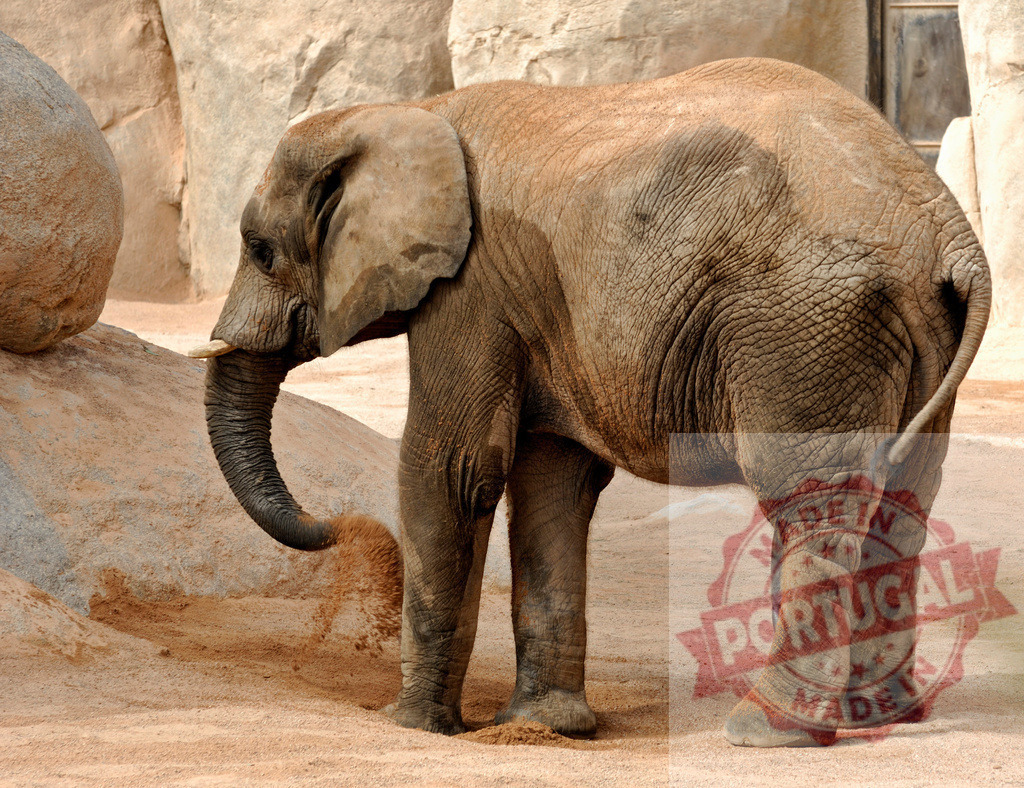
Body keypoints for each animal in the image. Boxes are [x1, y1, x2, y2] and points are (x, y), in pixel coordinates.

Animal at [195, 58, 990, 747]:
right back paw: (877, 718)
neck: (409, 112)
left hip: (801, 322)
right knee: (904, 495)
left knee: (810, 499)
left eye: (260, 249)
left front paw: (414, 726)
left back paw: (767, 730)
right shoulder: (536, 307)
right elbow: (554, 480)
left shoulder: (471, 290)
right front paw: (546, 728)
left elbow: (454, 469)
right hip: (899, 331)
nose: (337, 529)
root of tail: (946, 232)